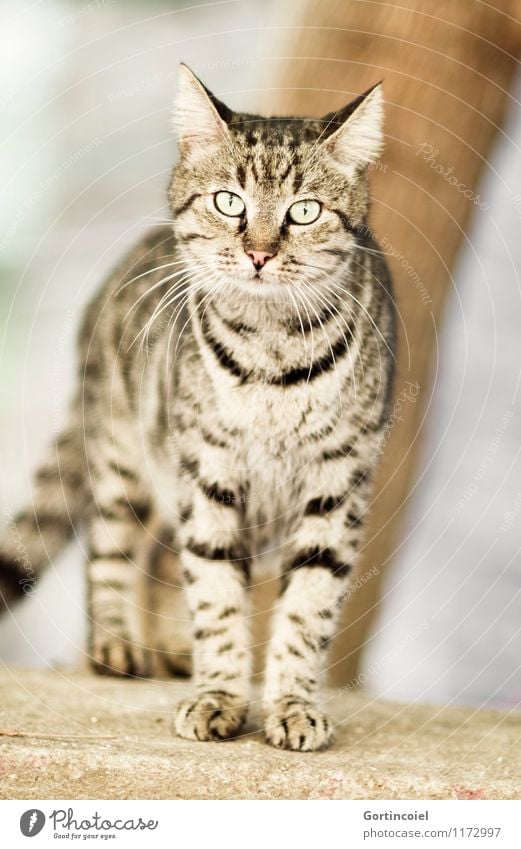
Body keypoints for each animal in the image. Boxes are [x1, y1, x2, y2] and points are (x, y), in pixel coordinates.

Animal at [0, 63, 394, 748]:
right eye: (228, 201)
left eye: (305, 212)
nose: (260, 252)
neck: (272, 354)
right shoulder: (209, 474)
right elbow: (215, 594)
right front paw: (219, 697)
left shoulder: (336, 486)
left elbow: (306, 608)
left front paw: (291, 705)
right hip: (125, 456)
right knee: (111, 551)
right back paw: (117, 646)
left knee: (161, 557)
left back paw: (169, 650)